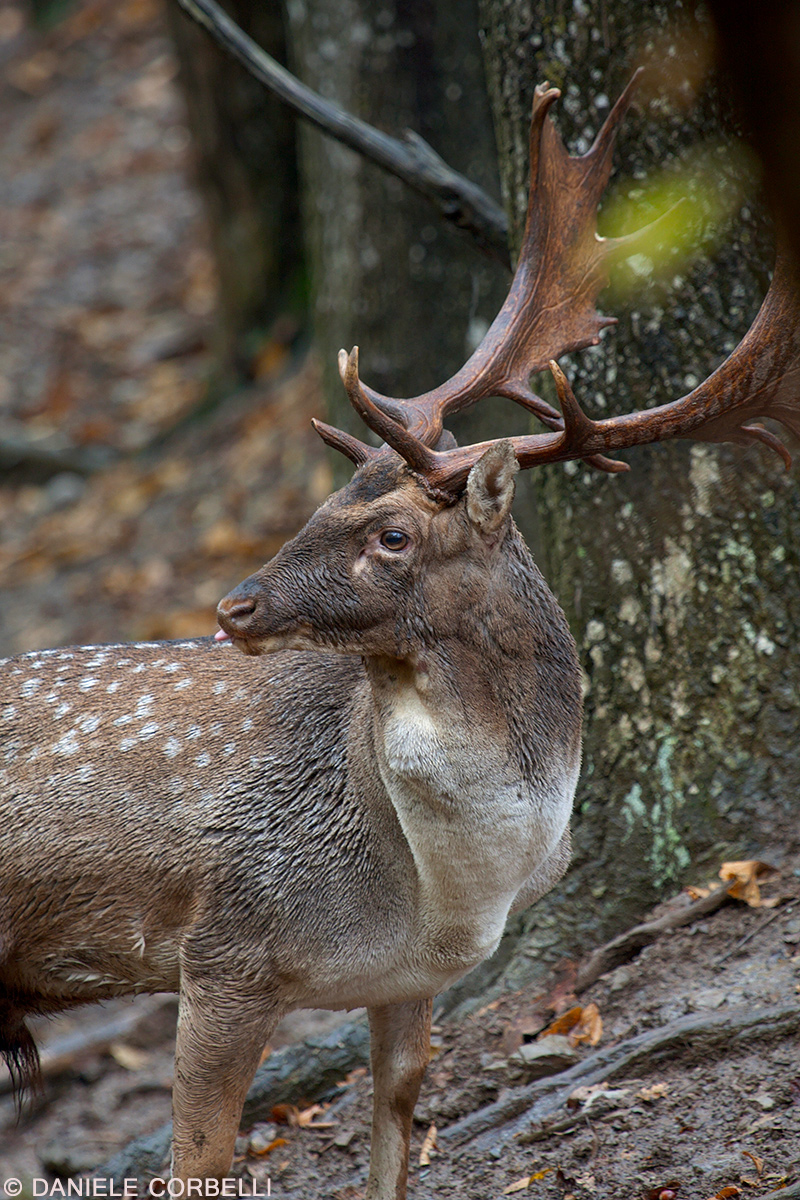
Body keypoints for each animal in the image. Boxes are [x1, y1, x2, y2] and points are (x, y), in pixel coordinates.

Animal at [1, 77, 800, 1200]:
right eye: (326, 498)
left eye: (389, 532)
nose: (233, 607)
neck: (439, 891)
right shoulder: (226, 946)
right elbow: (199, 1159)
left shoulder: (406, 983)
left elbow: (395, 1132)